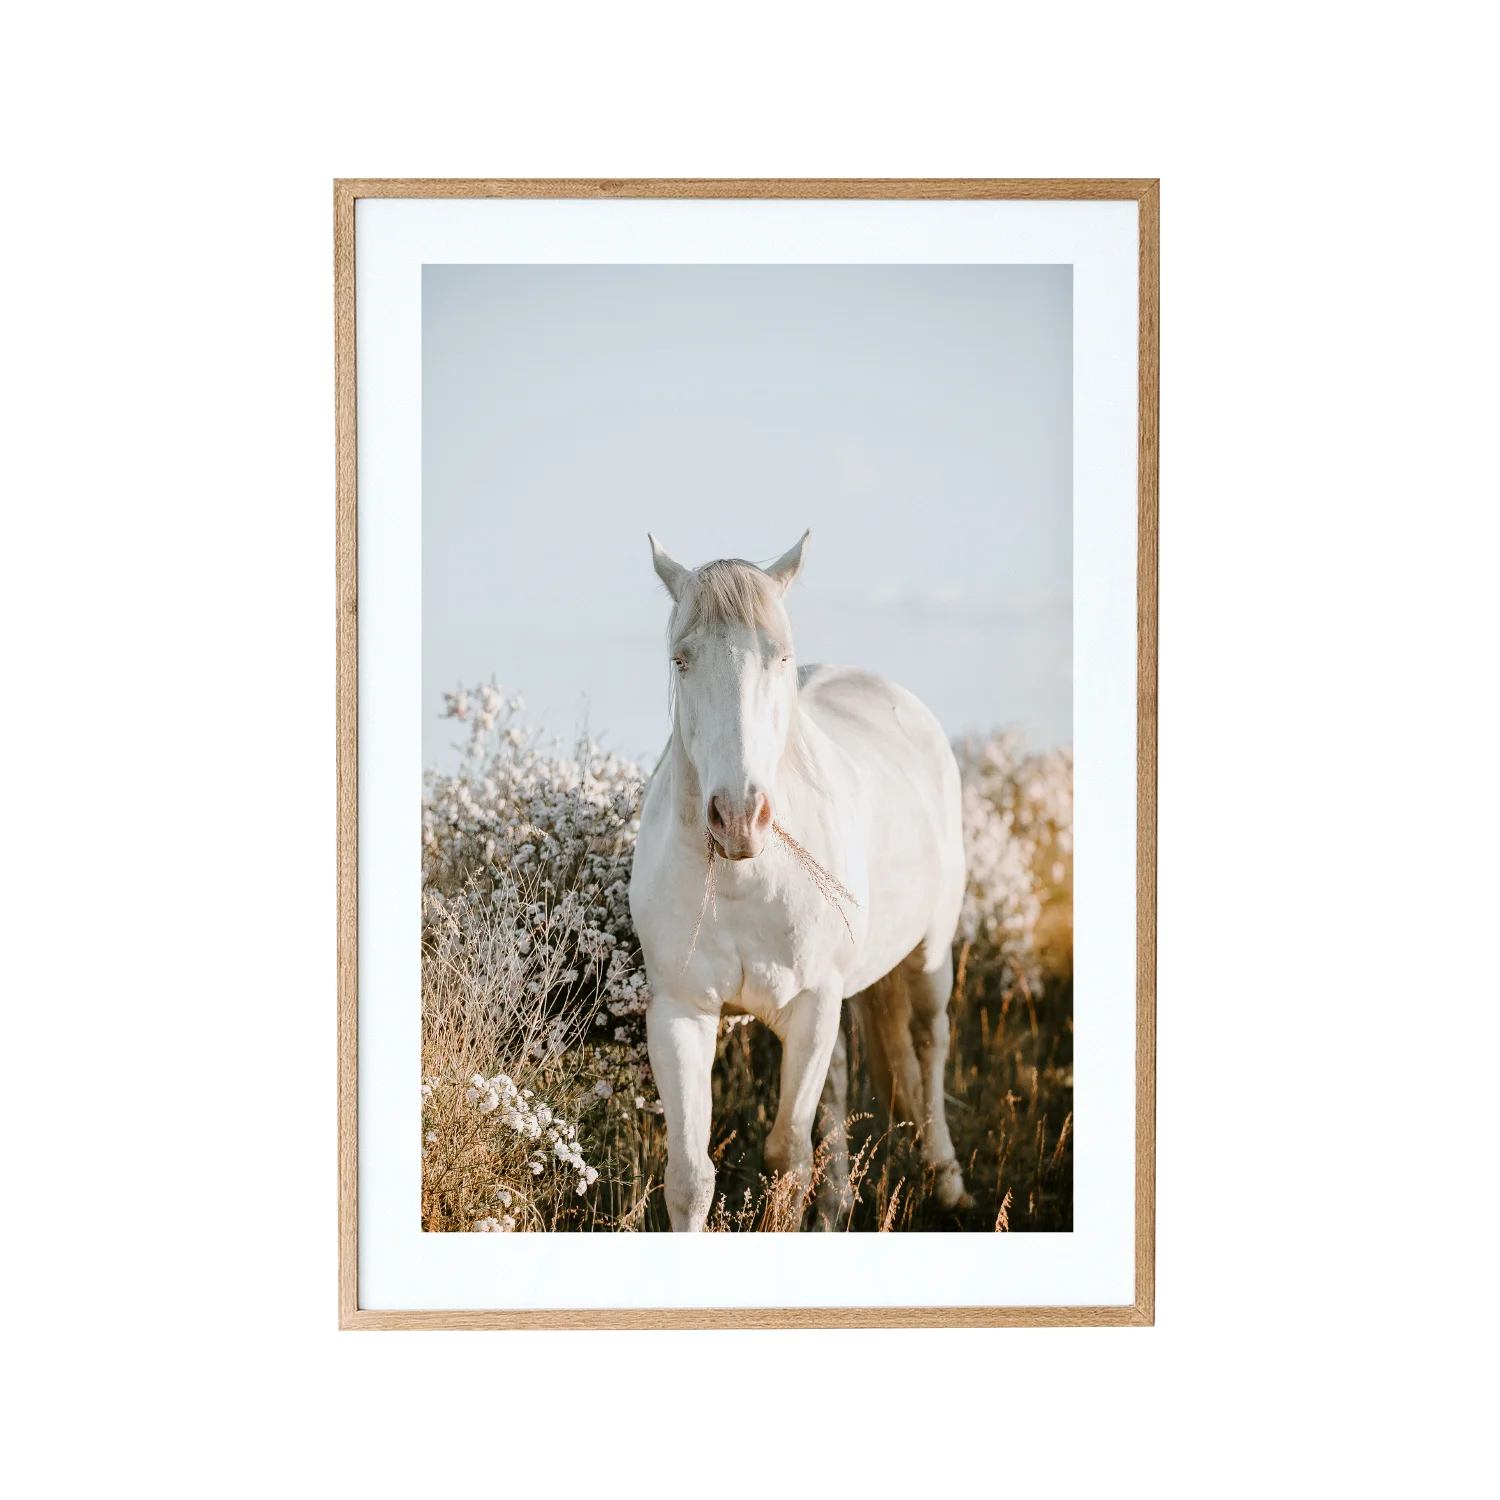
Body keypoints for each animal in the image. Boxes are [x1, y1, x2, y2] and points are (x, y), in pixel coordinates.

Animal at [628, 531, 969, 1231]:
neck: (745, 879)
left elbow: (787, 1158)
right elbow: (689, 1179)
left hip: (928, 954)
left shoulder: (812, 1005)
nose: (738, 816)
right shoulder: (680, 1014)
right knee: (836, 1084)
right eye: (681, 659)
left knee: (929, 1042)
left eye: (780, 657)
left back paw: (947, 1180)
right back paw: (838, 1203)